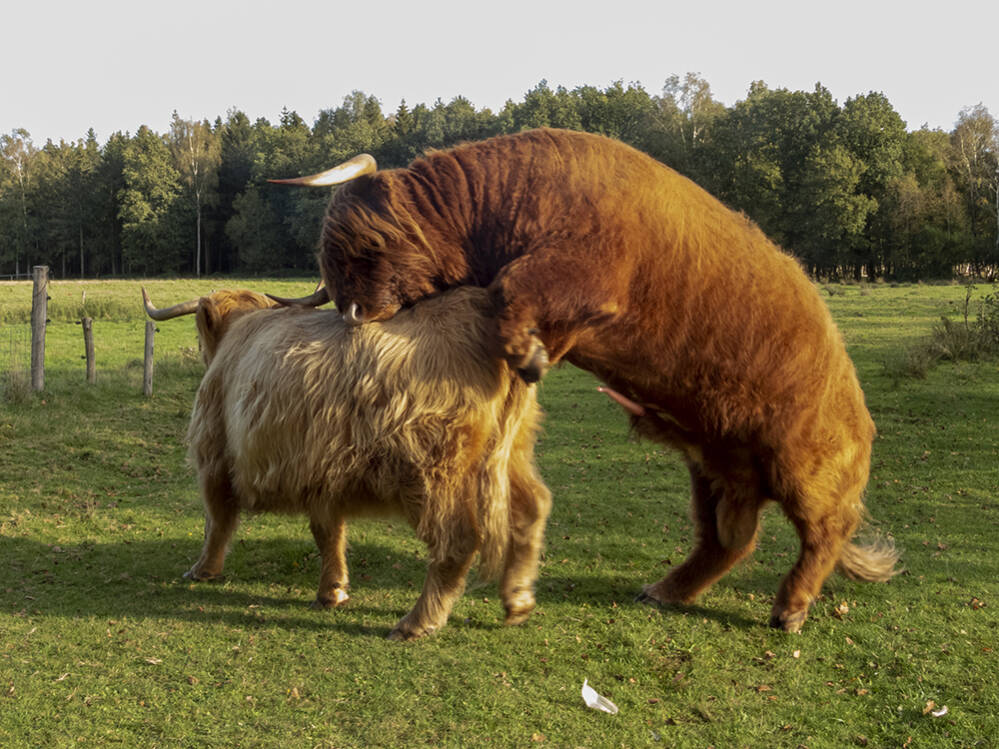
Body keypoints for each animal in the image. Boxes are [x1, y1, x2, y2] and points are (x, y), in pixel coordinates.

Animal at [146, 286, 551, 640]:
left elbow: (218, 519)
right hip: (512, 451)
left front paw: (203, 570)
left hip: (435, 471)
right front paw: (333, 591)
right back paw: (518, 600)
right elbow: (328, 531)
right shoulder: (321, 472)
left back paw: (418, 622)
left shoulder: (214, 453)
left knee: (457, 540)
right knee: (532, 507)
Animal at [269, 127, 898, 632]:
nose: (352, 312)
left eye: (366, 247)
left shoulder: (583, 272)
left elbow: (511, 291)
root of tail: (859, 406)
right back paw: (665, 591)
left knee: (824, 529)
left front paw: (530, 358)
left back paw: (788, 611)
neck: (498, 202)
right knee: (729, 537)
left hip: (801, 464)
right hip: (716, 465)